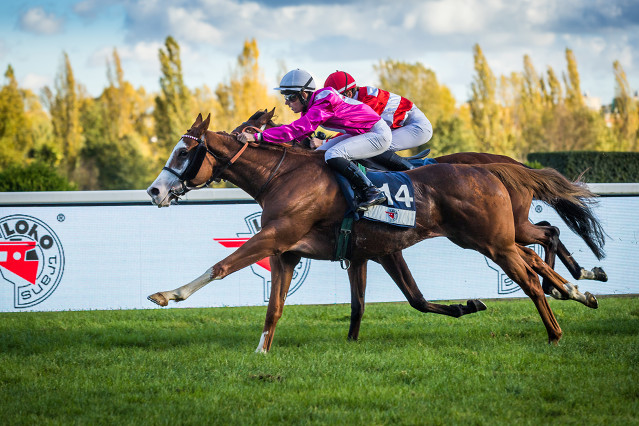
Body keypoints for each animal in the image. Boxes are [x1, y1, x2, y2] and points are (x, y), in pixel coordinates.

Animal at [148, 113, 604, 352]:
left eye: (184, 152)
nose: (155, 190)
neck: (284, 175)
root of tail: (493, 170)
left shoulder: (277, 237)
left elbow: (222, 265)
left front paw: (168, 294)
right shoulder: (307, 251)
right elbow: (281, 306)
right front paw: (262, 351)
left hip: (493, 240)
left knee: (531, 271)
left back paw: (558, 322)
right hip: (498, 236)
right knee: (542, 242)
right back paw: (575, 290)